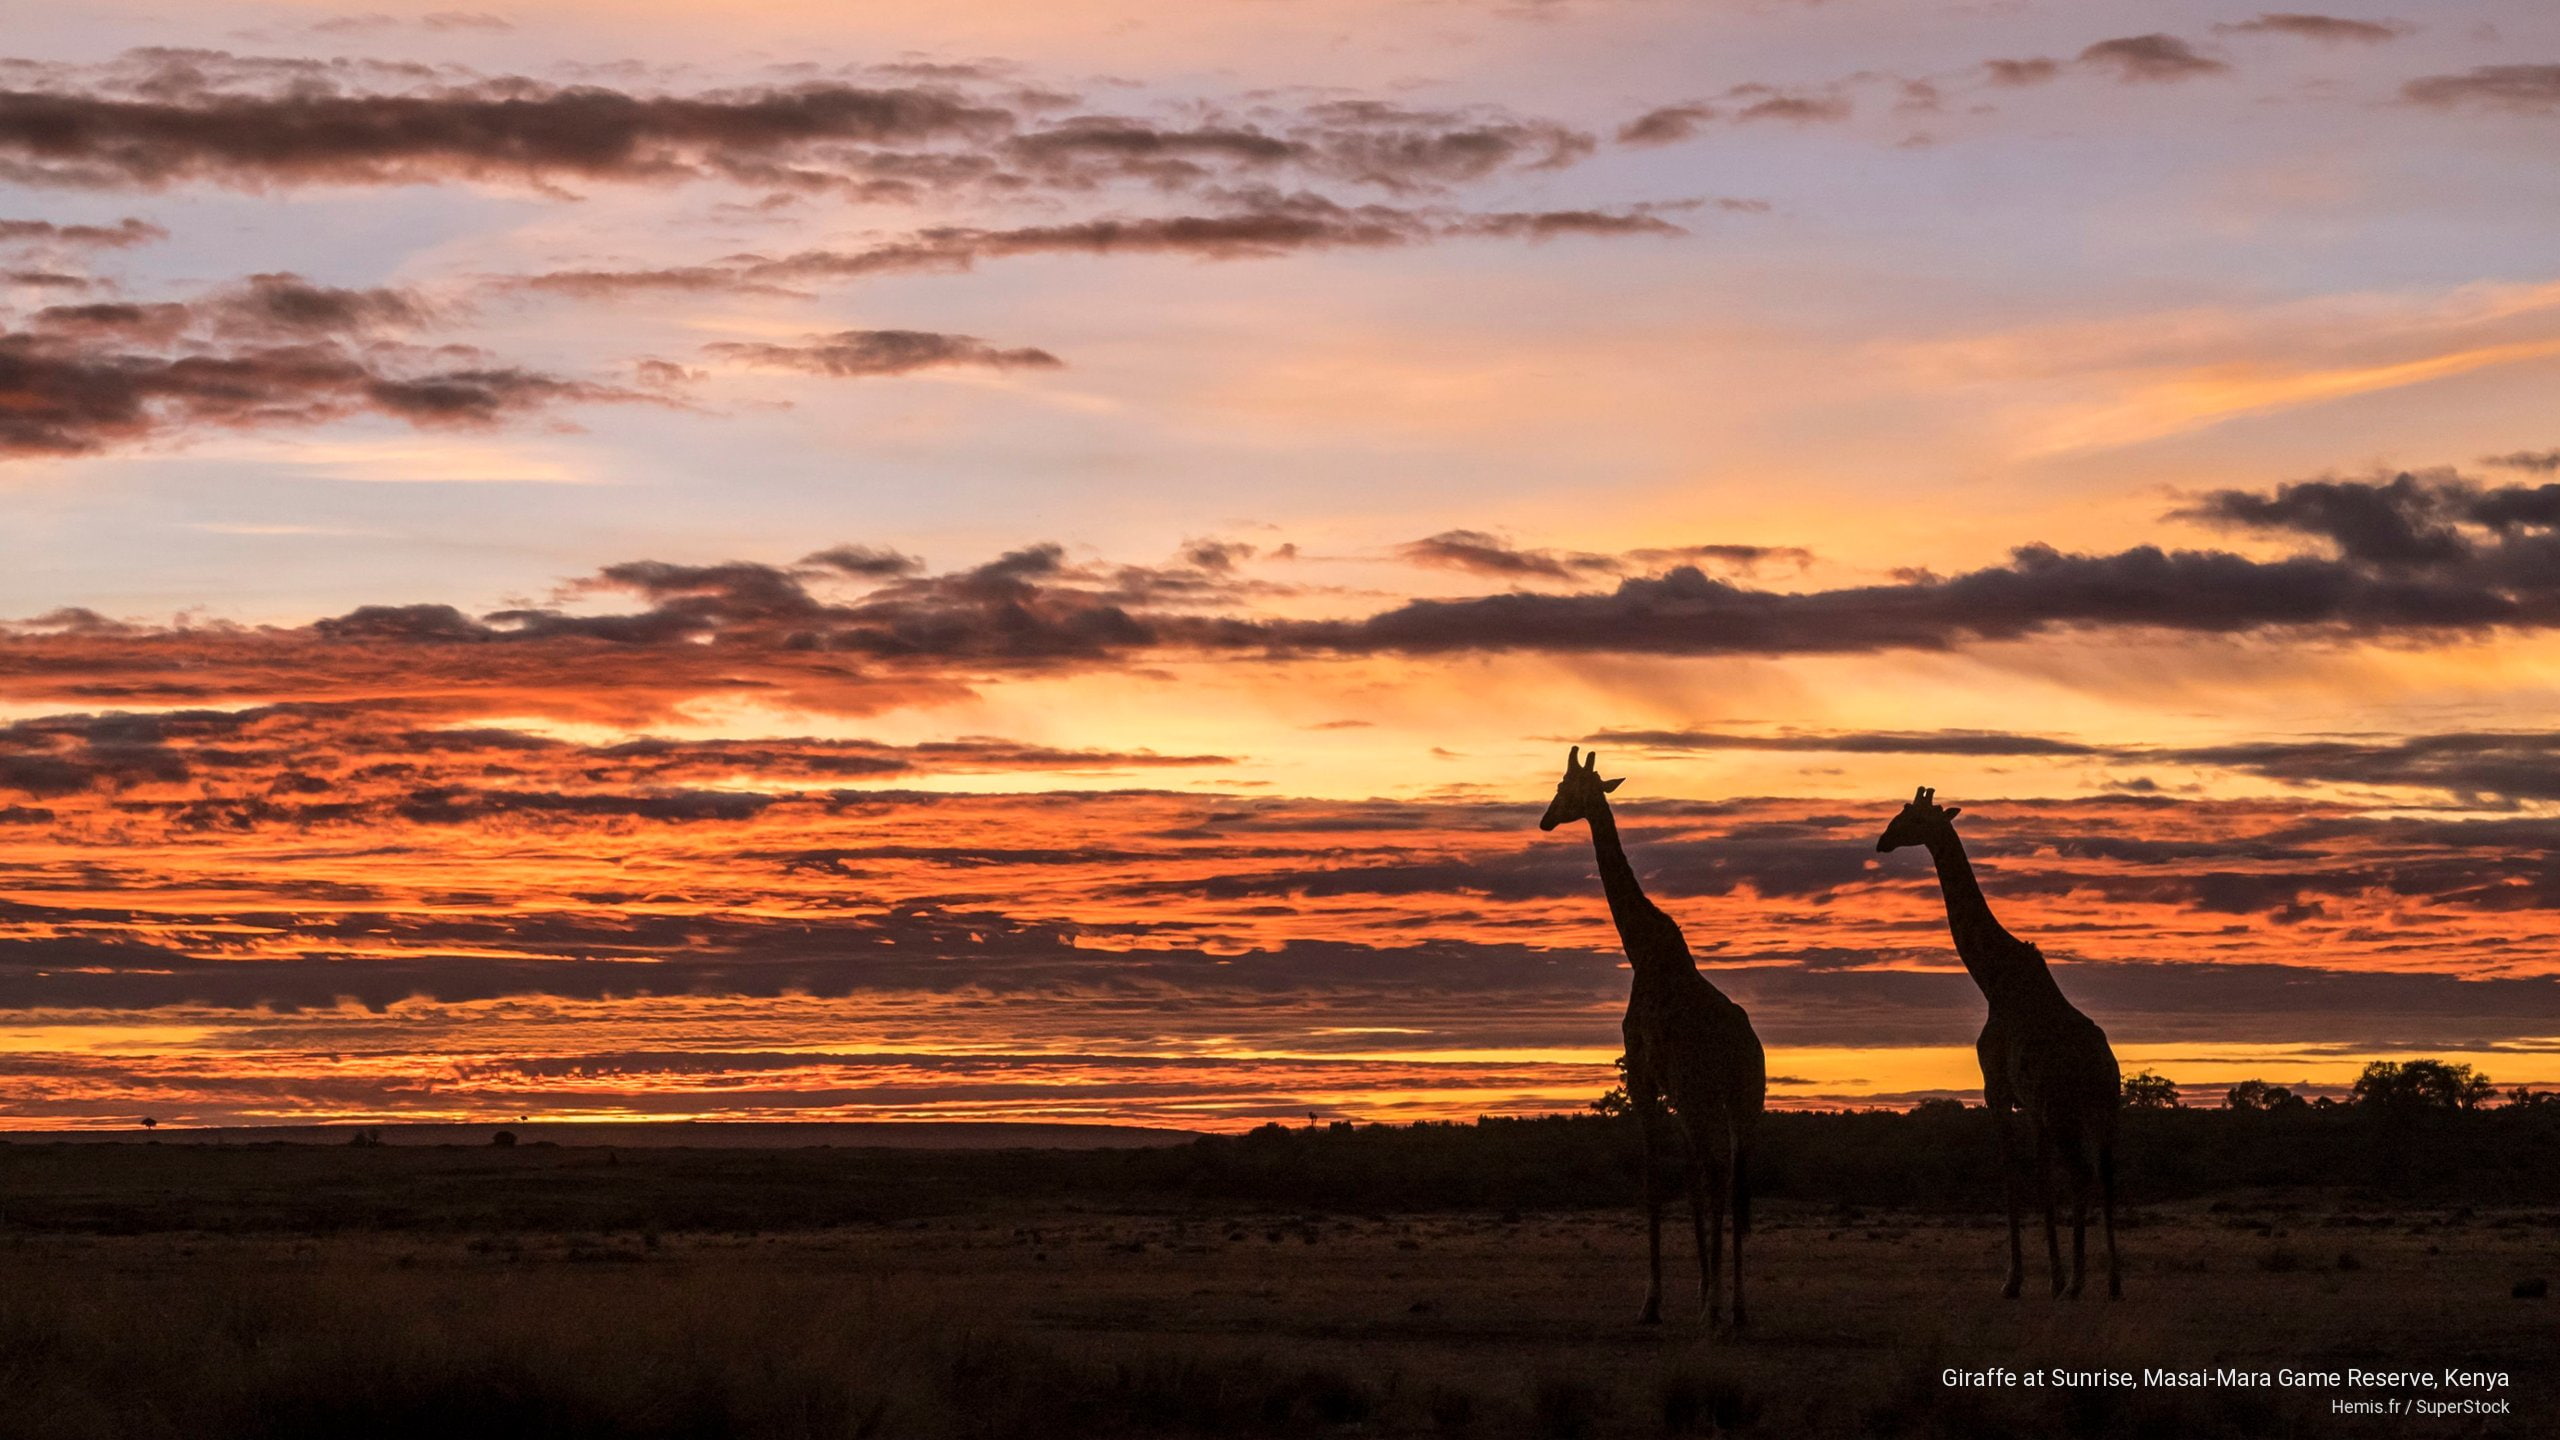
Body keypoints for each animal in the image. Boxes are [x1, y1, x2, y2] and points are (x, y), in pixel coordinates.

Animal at [1540, 746, 1767, 1328]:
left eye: (1565, 787)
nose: (1545, 819)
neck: (1640, 950)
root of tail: (1744, 1049)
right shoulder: (1674, 1091)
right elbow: (1685, 1181)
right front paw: (1695, 1290)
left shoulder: (1646, 1078)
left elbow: (1653, 1181)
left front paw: (1653, 1300)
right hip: (1744, 1100)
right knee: (1731, 1178)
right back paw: (1735, 1305)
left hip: (1703, 1094)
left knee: (1717, 1173)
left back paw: (1715, 1308)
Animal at [1876, 786, 2122, 1300]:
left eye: (1910, 818)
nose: (1881, 842)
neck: (1991, 979)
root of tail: (2100, 1068)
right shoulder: (2032, 1106)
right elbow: (2042, 1181)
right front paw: (2053, 1276)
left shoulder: (1997, 1091)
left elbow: (2011, 1178)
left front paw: (2015, 1280)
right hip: (2104, 1108)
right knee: (2106, 1174)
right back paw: (2111, 1282)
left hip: (2067, 1109)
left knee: (2083, 1173)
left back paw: (2080, 1284)